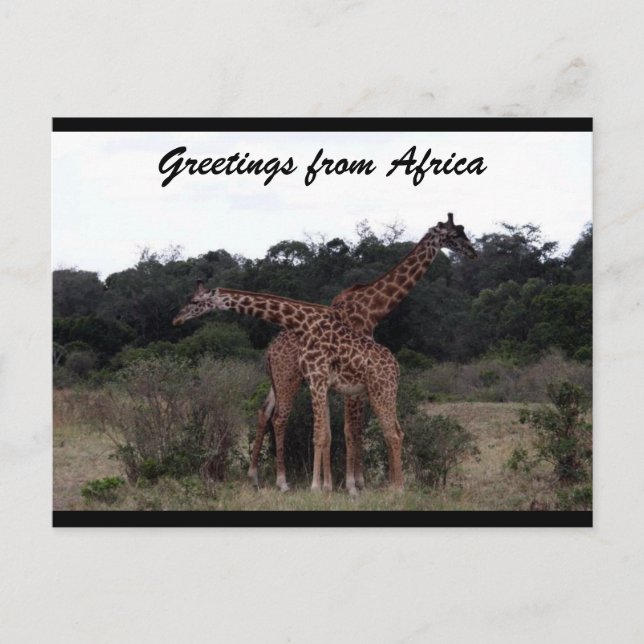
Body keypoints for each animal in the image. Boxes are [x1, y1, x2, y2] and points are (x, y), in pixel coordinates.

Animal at [173, 287, 405, 491]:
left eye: (195, 301)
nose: (176, 319)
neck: (303, 323)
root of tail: (396, 366)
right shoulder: (318, 382)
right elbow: (325, 433)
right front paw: (326, 487)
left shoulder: (317, 379)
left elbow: (319, 435)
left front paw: (316, 487)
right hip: (381, 393)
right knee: (397, 431)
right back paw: (392, 485)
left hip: (381, 391)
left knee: (392, 433)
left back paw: (397, 488)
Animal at [248, 213, 477, 492]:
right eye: (454, 235)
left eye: (463, 231)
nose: (473, 252)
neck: (372, 308)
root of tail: (270, 351)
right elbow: (351, 428)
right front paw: (351, 484)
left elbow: (351, 428)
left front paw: (353, 481)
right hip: (288, 377)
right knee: (280, 418)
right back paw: (282, 481)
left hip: (277, 380)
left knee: (264, 412)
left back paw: (254, 476)